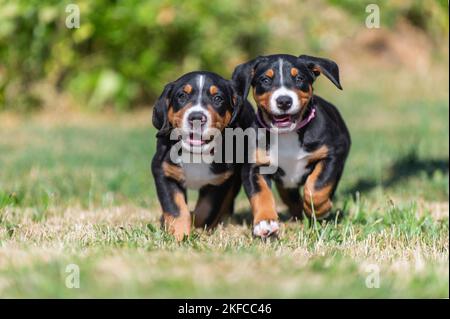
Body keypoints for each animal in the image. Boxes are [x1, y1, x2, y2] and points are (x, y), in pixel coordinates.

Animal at [152, 71, 253, 241]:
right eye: (182, 96)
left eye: (217, 98)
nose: (197, 117)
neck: (196, 153)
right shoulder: (164, 171)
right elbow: (176, 209)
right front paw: (179, 235)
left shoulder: (220, 180)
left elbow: (206, 210)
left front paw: (196, 226)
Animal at [232, 54, 352, 238]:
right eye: (265, 80)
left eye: (299, 78)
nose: (284, 101)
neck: (287, 134)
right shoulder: (254, 166)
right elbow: (261, 194)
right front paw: (265, 222)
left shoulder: (333, 153)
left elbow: (317, 186)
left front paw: (319, 209)